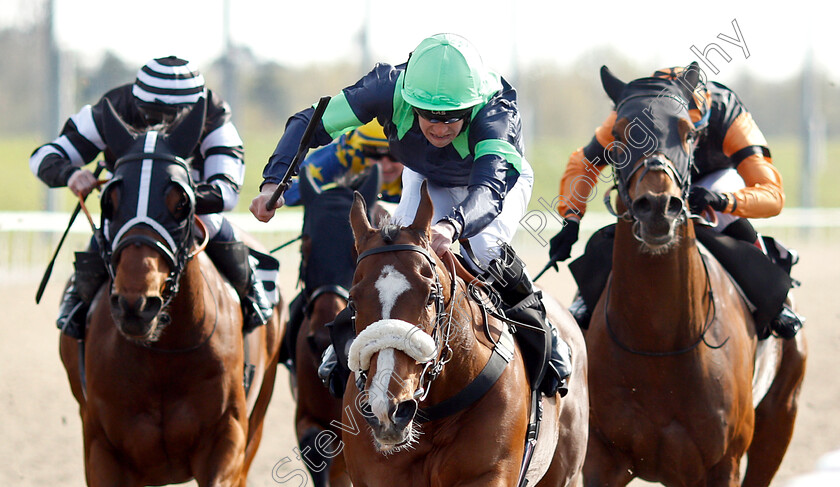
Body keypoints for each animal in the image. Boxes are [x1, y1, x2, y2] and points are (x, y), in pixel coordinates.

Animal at [58, 97, 286, 486]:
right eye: (109, 201)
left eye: (181, 203)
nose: (137, 305)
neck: (163, 356)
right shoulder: (101, 447)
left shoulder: (227, 438)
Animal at [584, 65, 808, 487]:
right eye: (620, 134)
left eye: (689, 133)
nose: (658, 206)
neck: (657, 344)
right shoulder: (602, 459)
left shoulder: (724, 464)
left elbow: (770, 185)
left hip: (780, 417)